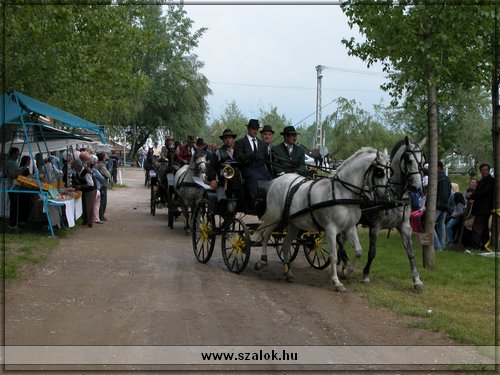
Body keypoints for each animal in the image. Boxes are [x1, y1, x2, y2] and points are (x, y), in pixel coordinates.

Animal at [254, 148, 390, 294]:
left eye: (390, 173)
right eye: (380, 172)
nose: (386, 199)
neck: (341, 193)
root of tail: (277, 180)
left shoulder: (350, 227)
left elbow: (359, 251)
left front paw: (347, 271)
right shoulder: (331, 229)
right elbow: (334, 256)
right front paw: (337, 282)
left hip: (293, 223)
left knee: (285, 244)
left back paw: (288, 272)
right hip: (275, 217)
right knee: (265, 235)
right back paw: (262, 261)